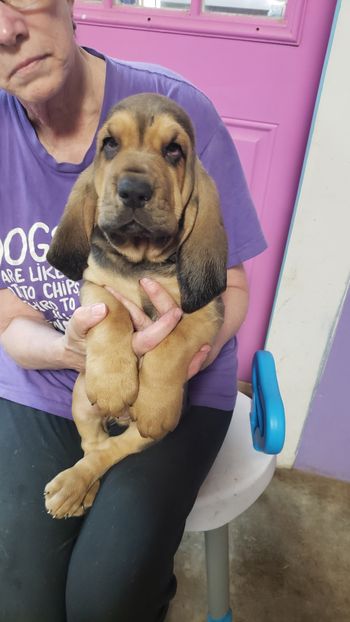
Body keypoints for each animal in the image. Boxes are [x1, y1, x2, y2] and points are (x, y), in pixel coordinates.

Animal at [43, 94, 227, 520]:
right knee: (92, 445)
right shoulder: (97, 287)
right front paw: (114, 382)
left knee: (108, 451)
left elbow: (170, 343)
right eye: (110, 144)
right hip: (82, 397)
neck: (141, 259)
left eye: (174, 150)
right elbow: (113, 314)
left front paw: (154, 402)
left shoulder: (204, 315)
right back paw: (75, 488)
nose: (133, 190)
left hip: (144, 435)